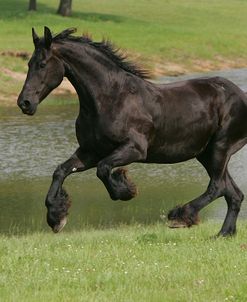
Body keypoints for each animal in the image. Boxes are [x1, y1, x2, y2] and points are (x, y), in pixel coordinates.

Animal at [16, 26, 247, 236]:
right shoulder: (90, 152)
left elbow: (103, 169)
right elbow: (61, 171)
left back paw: (180, 216)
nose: (24, 103)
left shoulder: (134, 149)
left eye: (42, 64)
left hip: (219, 148)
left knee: (217, 186)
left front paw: (126, 189)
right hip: (207, 154)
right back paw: (223, 233)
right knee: (233, 193)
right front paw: (57, 217)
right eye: (28, 63)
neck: (111, 98)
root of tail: (241, 95)